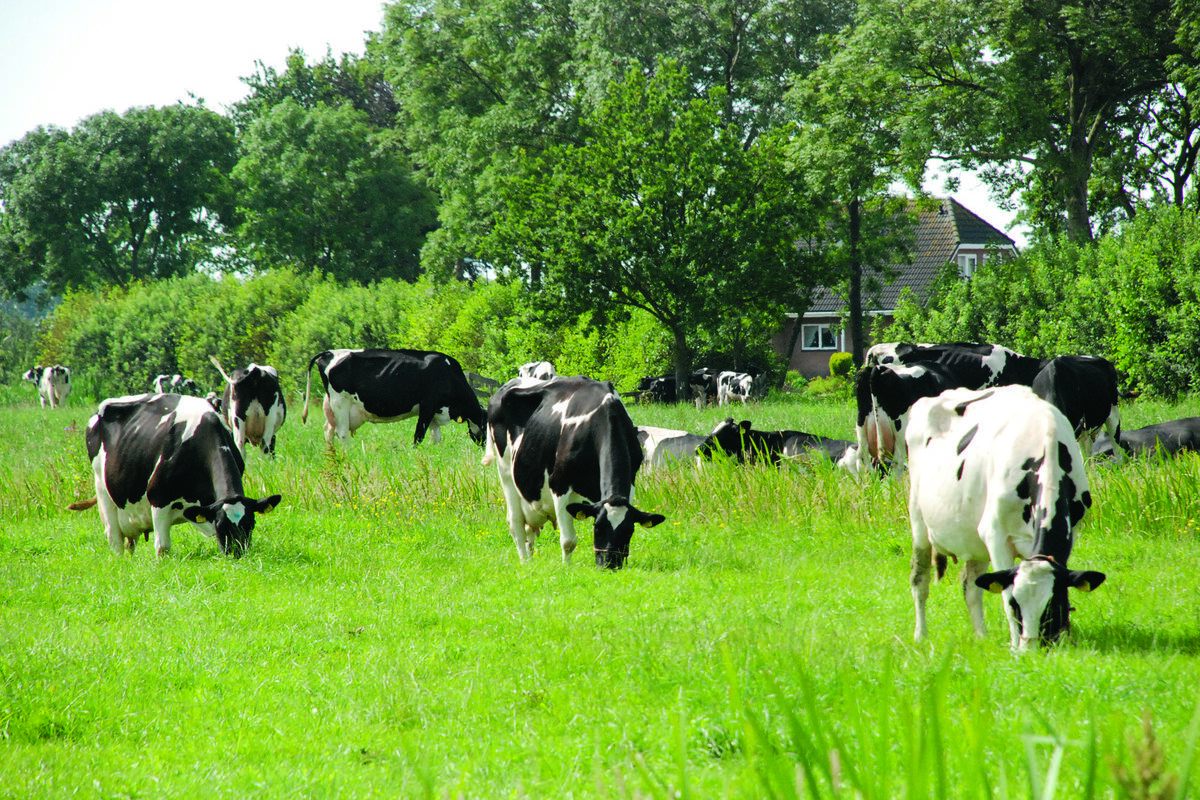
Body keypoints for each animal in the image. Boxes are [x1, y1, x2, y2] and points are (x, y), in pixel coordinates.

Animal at [67, 393, 282, 557]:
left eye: (251, 524)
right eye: (221, 525)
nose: (237, 555)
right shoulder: (158, 499)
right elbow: (163, 548)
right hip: (103, 491)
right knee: (114, 538)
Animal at [302, 348, 486, 447]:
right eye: (486, 425)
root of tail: (330, 352)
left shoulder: (436, 411)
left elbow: (436, 438)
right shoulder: (428, 405)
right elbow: (419, 435)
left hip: (331, 407)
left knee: (329, 430)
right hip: (340, 403)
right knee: (342, 433)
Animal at [483, 376, 665, 568]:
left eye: (629, 530)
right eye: (597, 527)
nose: (609, 565)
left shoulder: (630, 482)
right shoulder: (559, 484)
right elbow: (568, 541)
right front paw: (567, 569)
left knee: (528, 531)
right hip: (506, 473)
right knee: (515, 523)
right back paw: (524, 562)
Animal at [906, 385, 1104, 651]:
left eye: (1052, 607)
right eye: (1017, 606)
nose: (1031, 651)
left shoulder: (1072, 530)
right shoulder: (996, 535)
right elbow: (1004, 594)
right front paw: (1015, 646)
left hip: (973, 538)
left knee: (971, 586)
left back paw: (981, 636)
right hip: (919, 521)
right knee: (920, 580)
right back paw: (921, 635)